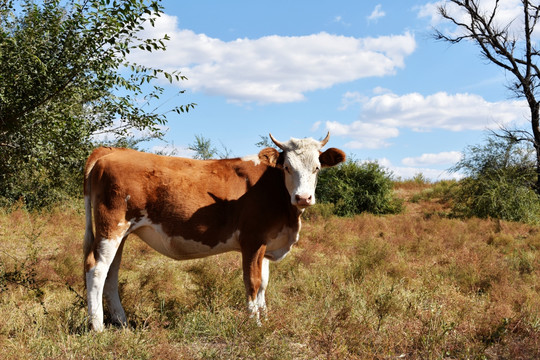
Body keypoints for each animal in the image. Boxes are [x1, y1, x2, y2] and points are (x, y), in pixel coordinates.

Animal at [84, 133, 346, 332]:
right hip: (112, 226)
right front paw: (254, 323)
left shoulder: (266, 242)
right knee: (96, 269)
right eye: (288, 168)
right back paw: (98, 327)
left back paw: (121, 322)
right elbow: (252, 281)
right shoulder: (252, 240)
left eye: (317, 168)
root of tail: (111, 151)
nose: (303, 197)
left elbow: (263, 283)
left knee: (111, 273)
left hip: (122, 233)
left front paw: (265, 317)